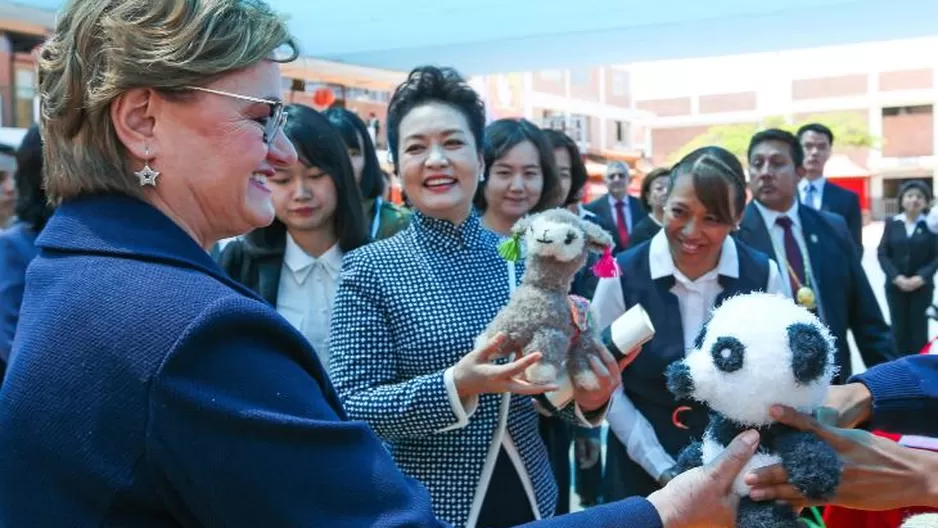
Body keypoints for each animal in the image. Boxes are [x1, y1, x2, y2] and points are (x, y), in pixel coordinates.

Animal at [664, 292, 840, 528]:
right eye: (700, 339)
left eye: (726, 353)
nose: (682, 373)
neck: (748, 424)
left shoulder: (781, 425)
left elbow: (803, 445)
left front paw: (818, 476)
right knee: (692, 455)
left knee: (762, 519)